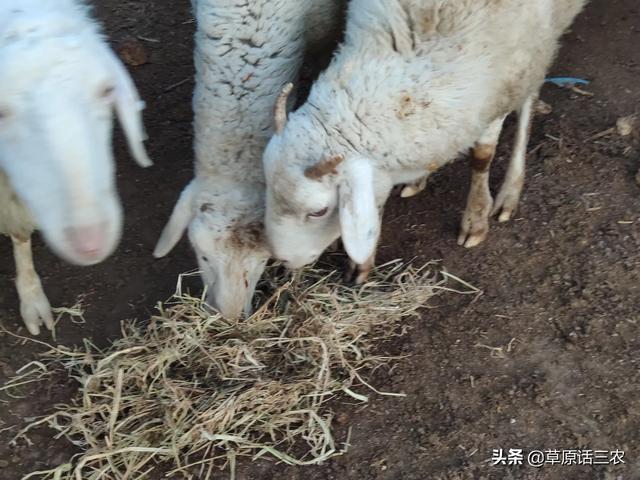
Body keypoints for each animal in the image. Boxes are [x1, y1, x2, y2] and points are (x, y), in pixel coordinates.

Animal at [262, 0, 586, 275]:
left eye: (318, 212)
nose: (282, 260)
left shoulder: (502, 86)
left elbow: (482, 156)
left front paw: (476, 219)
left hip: (543, 42)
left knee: (529, 100)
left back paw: (510, 191)